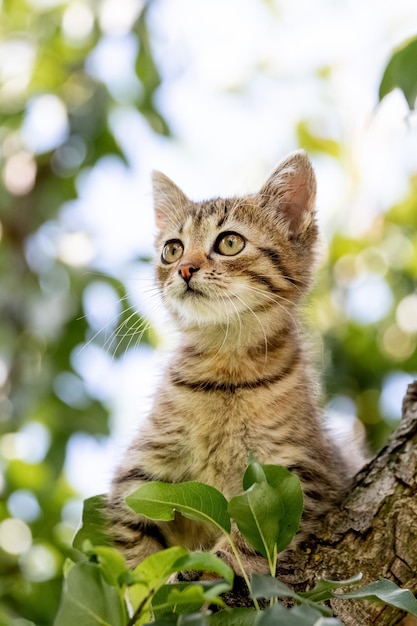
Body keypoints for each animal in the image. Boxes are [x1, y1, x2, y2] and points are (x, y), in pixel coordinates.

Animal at [108, 151, 358, 576]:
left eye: (229, 242)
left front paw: (213, 567)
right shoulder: (141, 474)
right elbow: (130, 552)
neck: (225, 372)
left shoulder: (298, 473)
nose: (184, 268)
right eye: (172, 249)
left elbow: (250, 541)